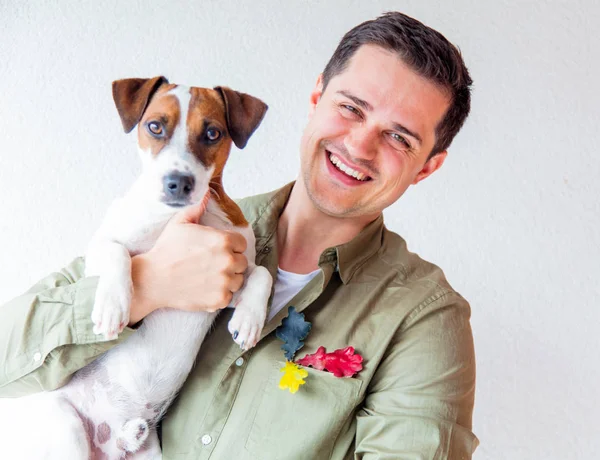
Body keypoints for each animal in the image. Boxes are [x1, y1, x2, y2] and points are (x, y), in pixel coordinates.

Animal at [0, 77, 272, 458]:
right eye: (155, 126)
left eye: (213, 133)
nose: (178, 182)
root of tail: (114, 438)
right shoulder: (101, 248)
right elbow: (118, 254)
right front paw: (113, 307)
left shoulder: (228, 281)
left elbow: (263, 272)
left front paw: (249, 320)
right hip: (66, 427)